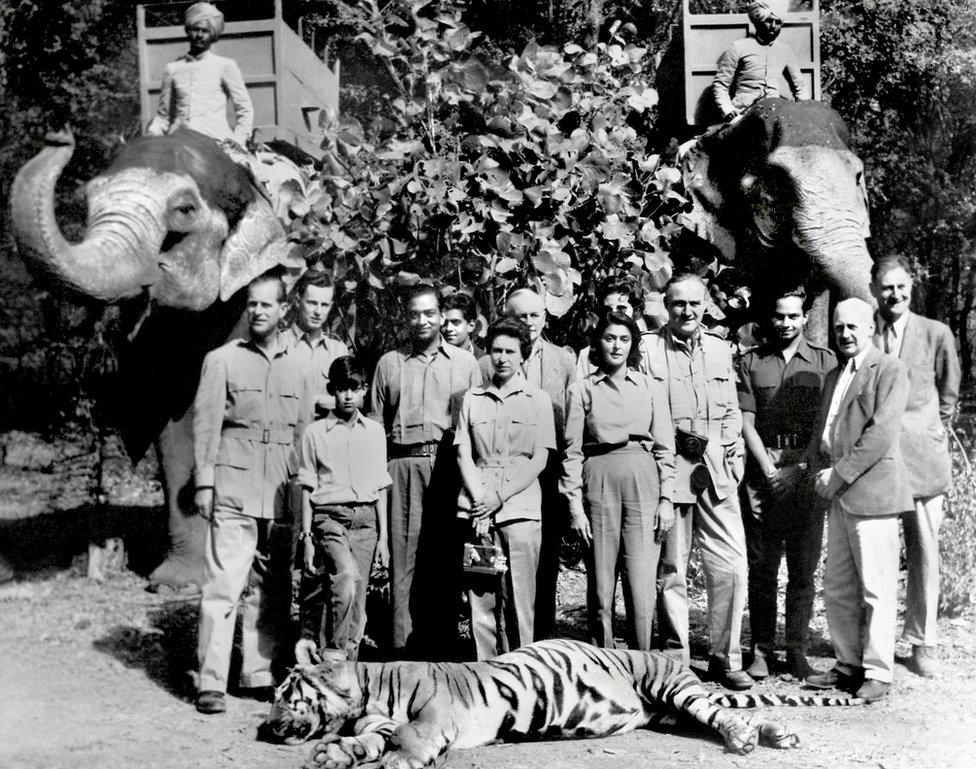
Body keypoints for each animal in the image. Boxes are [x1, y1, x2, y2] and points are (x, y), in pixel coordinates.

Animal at [8, 127, 304, 588]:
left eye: (184, 211)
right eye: (88, 203)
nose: (60, 136)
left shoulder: (243, 302)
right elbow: (177, 427)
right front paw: (176, 581)